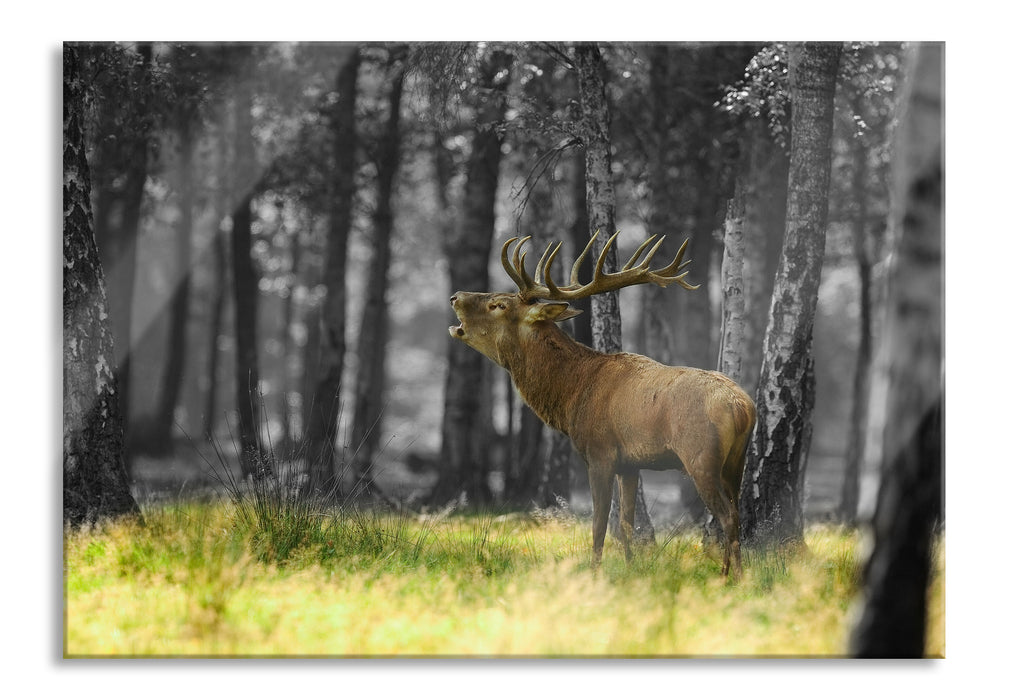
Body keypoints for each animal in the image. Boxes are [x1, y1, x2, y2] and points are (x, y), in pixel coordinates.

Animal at [445, 232, 754, 576]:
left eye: (498, 304)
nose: (455, 296)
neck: (572, 395)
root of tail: (743, 408)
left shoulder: (600, 453)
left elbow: (598, 525)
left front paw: (594, 573)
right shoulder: (630, 464)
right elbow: (626, 524)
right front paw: (631, 569)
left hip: (701, 457)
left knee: (727, 516)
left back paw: (733, 577)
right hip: (736, 461)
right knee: (737, 512)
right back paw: (730, 573)